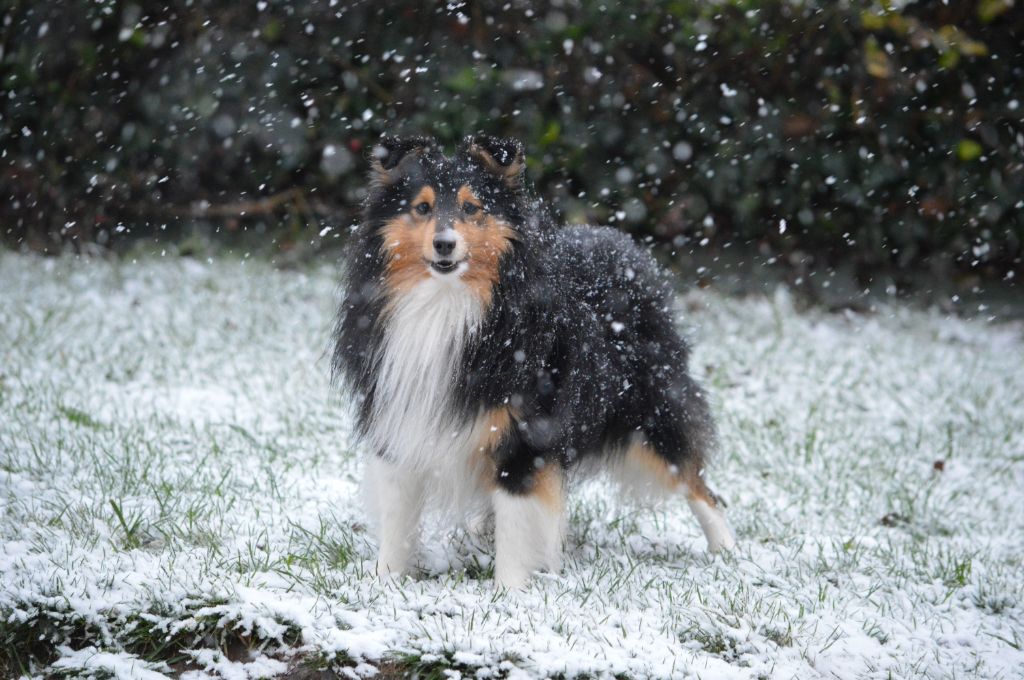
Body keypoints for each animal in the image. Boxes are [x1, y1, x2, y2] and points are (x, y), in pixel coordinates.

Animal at [331, 135, 733, 585]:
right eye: (422, 207)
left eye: (472, 207)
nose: (444, 244)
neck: (447, 303)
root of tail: (618, 243)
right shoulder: (398, 417)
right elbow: (398, 517)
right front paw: (385, 582)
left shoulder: (527, 434)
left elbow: (517, 523)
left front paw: (510, 592)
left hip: (652, 412)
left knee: (699, 485)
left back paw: (728, 552)